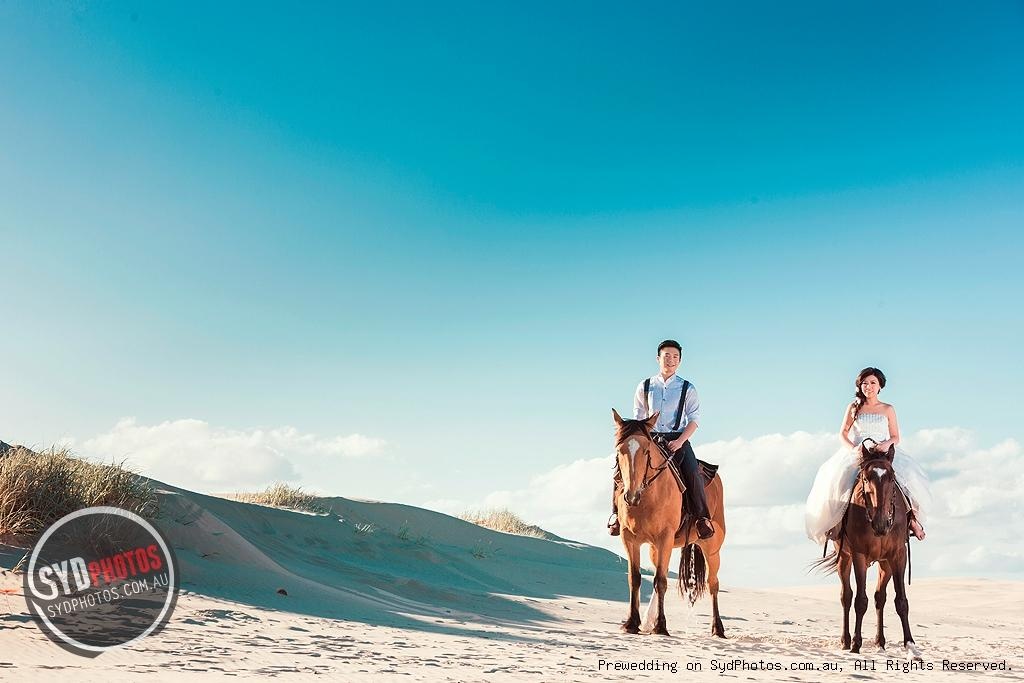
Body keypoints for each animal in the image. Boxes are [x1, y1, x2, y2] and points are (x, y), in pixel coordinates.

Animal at [606, 409, 729, 638]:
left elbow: (661, 581)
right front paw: (632, 623)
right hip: (656, 548)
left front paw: (661, 626)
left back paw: (718, 628)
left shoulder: (665, 537)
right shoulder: (629, 538)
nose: (631, 496)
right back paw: (647, 621)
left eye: (646, 451)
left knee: (713, 584)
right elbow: (635, 579)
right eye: (619, 451)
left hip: (712, 548)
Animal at [815, 444, 921, 663]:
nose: (881, 524)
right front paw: (856, 644)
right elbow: (860, 600)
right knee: (846, 596)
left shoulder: (898, 555)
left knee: (880, 597)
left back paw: (880, 642)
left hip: (885, 564)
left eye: (891, 477)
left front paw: (910, 645)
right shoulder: (859, 555)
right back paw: (846, 641)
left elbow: (901, 601)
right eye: (865, 478)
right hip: (844, 558)